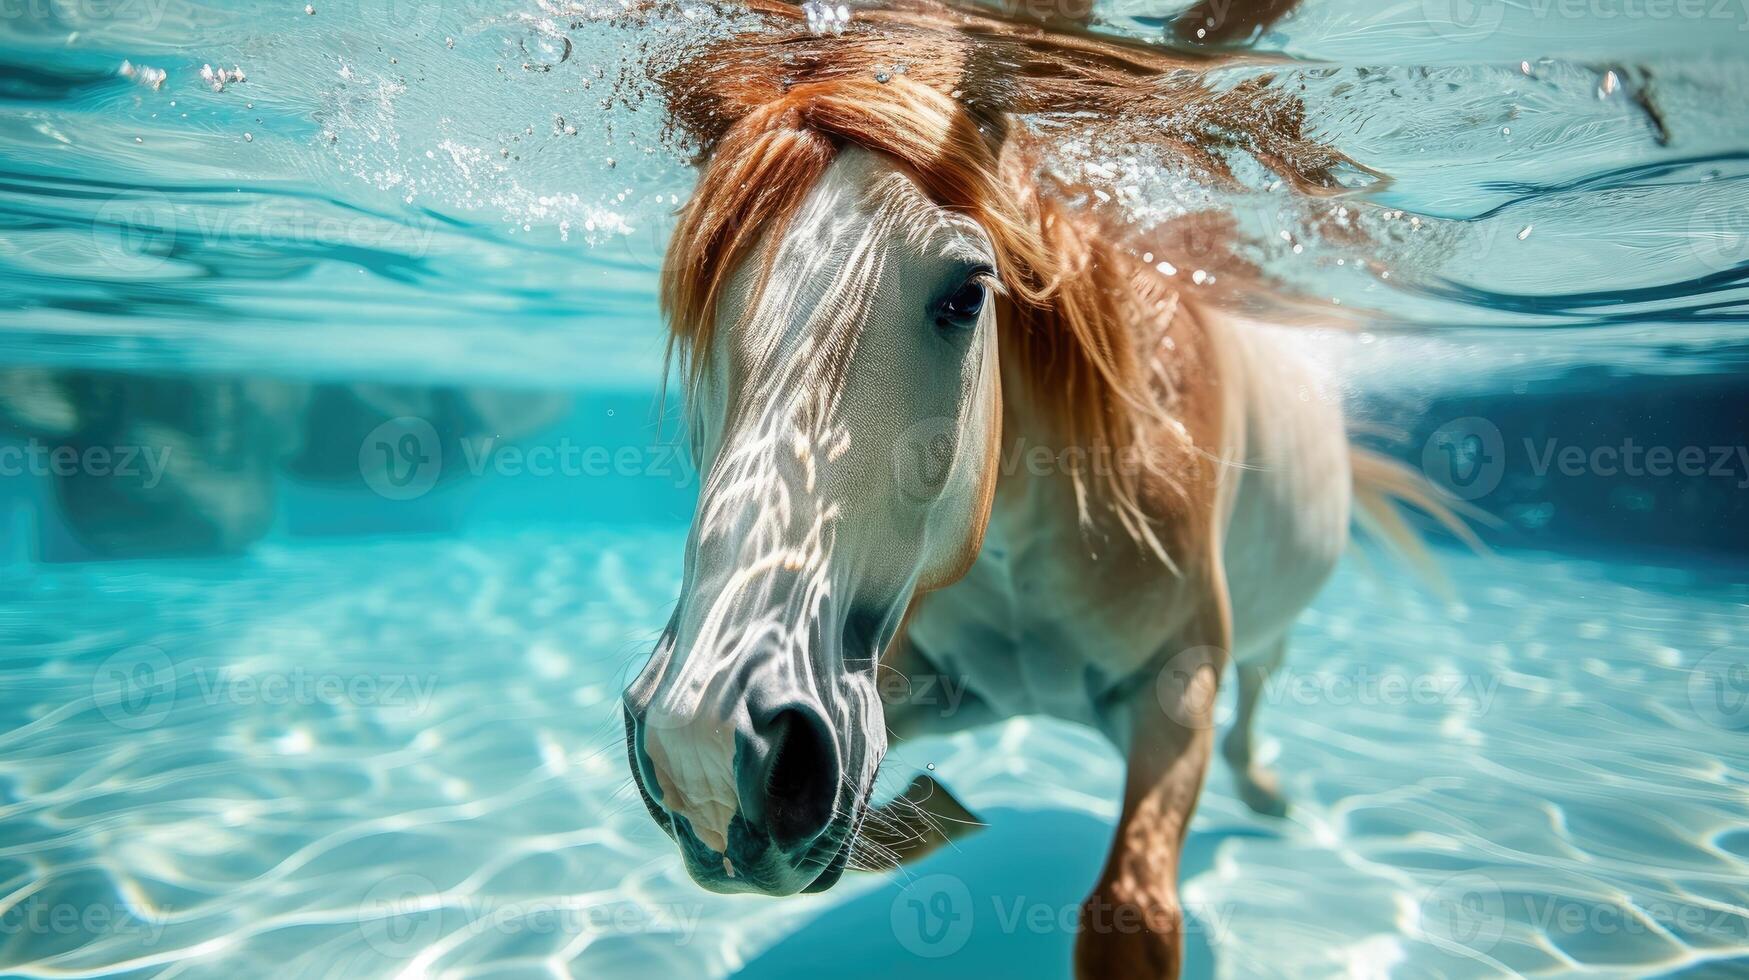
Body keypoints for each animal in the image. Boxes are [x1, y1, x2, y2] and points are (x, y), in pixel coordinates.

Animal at [622, 5, 1469, 973]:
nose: (698, 745)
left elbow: (1129, 914)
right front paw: (936, 816)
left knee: (1260, 681)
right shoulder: (911, 687)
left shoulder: (1176, 692)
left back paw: (1263, 790)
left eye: (966, 293)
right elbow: (875, 815)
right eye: (703, 299)